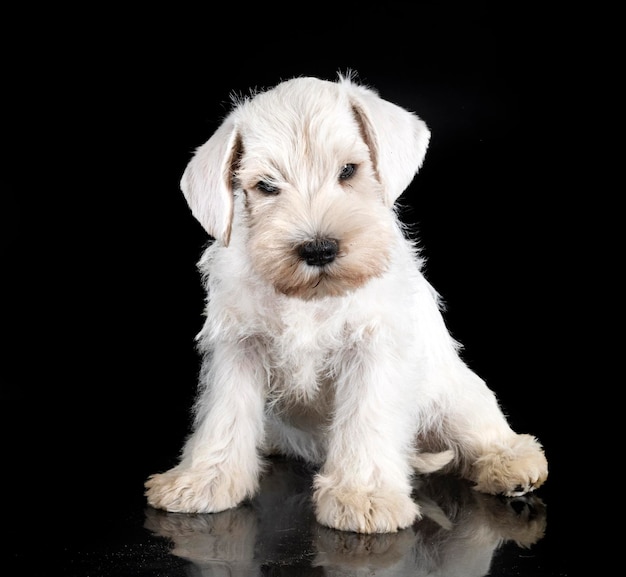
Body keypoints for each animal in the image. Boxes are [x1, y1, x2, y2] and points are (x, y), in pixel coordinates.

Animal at [144, 74, 544, 532]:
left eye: (349, 170)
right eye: (266, 186)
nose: (318, 249)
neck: (312, 298)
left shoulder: (372, 348)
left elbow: (364, 419)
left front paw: (363, 496)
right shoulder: (238, 348)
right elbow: (224, 415)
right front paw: (202, 481)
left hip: (454, 397)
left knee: (484, 432)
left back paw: (513, 465)